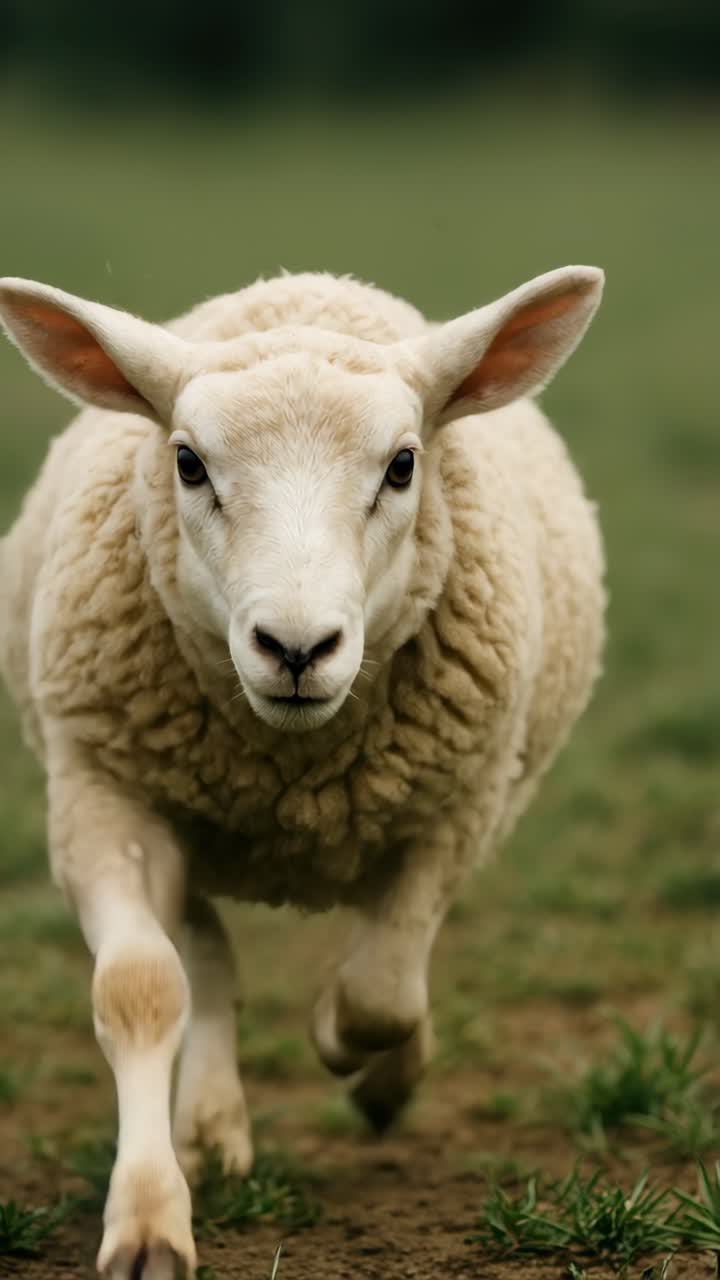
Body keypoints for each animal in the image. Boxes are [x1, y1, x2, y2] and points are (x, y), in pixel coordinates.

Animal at [0, 264, 605, 1279]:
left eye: (402, 465)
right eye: (188, 463)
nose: (295, 648)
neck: (291, 765)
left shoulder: (458, 813)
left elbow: (379, 995)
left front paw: (359, 1062)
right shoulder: (101, 799)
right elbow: (140, 990)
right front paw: (150, 1218)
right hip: (189, 823)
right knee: (204, 953)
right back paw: (210, 1125)